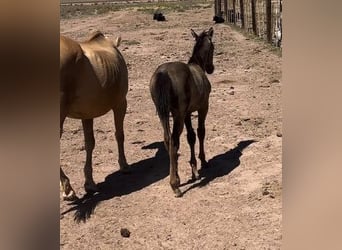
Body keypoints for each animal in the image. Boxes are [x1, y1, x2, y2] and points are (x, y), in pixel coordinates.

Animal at [59, 31, 129, 200]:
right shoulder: (121, 104)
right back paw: (67, 188)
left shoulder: (86, 115)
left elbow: (89, 143)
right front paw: (124, 165)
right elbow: (119, 135)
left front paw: (89, 183)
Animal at [150, 27, 214, 197]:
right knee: (173, 141)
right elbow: (200, 132)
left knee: (167, 140)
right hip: (177, 115)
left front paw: (194, 168)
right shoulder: (203, 107)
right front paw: (203, 161)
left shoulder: (187, 113)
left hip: (164, 114)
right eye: (213, 47)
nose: (211, 68)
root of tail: (163, 73)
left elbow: (190, 137)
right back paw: (175, 184)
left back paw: (176, 177)